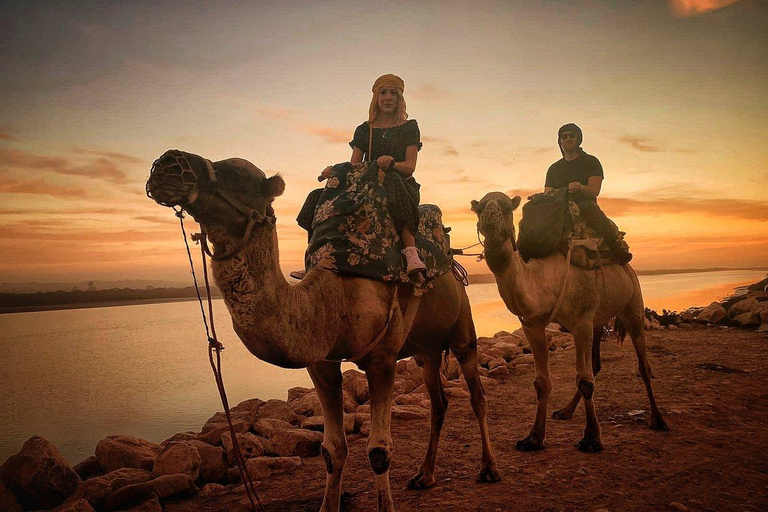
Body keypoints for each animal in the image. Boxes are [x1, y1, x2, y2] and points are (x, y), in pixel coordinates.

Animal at [147, 150, 500, 512]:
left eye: (237, 174)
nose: (168, 163)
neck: (333, 295)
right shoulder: (321, 364)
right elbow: (331, 450)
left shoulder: (383, 358)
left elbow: (379, 451)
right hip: (425, 350)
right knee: (438, 402)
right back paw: (424, 475)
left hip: (463, 326)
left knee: (477, 395)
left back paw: (488, 469)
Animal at [468, 191, 664, 452]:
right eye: (478, 208)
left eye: (508, 208)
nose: (489, 218)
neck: (545, 281)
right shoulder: (533, 325)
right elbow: (542, 382)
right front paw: (533, 437)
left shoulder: (581, 321)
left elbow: (585, 381)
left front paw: (591, 439)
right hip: (597, 320)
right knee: (596, 364)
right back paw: (565, 411)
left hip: (633, 302)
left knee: (642, 364)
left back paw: (658, 419)